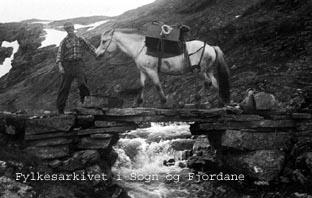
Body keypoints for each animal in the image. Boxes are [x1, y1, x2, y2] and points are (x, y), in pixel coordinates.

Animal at [96, 28, 230, 106]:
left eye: (104, 41)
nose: (97, 54)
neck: (140, 48)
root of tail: (211, 47)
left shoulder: (151, 71)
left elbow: (157, 85)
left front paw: (163, 101)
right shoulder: (143, 71)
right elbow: (142, 85)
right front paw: (139, 102)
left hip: (200, 70)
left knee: (207, 83)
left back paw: (198, 98)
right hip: (208, 70)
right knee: (215, 83)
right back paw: (220, 102)